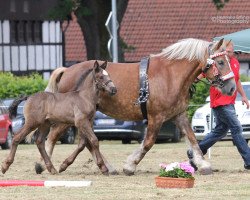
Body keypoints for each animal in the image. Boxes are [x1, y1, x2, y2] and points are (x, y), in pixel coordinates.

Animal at [34, 37, 234, 175]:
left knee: (86, 142)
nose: (232, 87)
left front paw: (203, 164)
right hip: (68, 117)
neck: (170, 75)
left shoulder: (179, 115)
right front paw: (130, 164)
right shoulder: (156, 117)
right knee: (53, 136)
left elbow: (193, 140)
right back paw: (44, 164)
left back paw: (106, 167)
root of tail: (67, 70)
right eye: (220, 62)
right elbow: (148, 142)